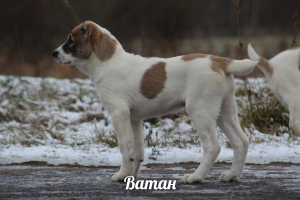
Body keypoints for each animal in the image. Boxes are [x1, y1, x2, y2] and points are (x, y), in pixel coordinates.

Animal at [52, 20, 256, 183]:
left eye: (70, 41)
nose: (54, 53)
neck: (108, 62)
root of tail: (219, 61)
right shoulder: (134, 118)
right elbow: (137, 150)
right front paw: (131, 176)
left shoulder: (119, 114)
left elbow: (125, 148)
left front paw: (121, 175)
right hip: (225, 112)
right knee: (241, 141)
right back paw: (232, 175)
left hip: (200, 111)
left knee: (212, 146)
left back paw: (195, 177)